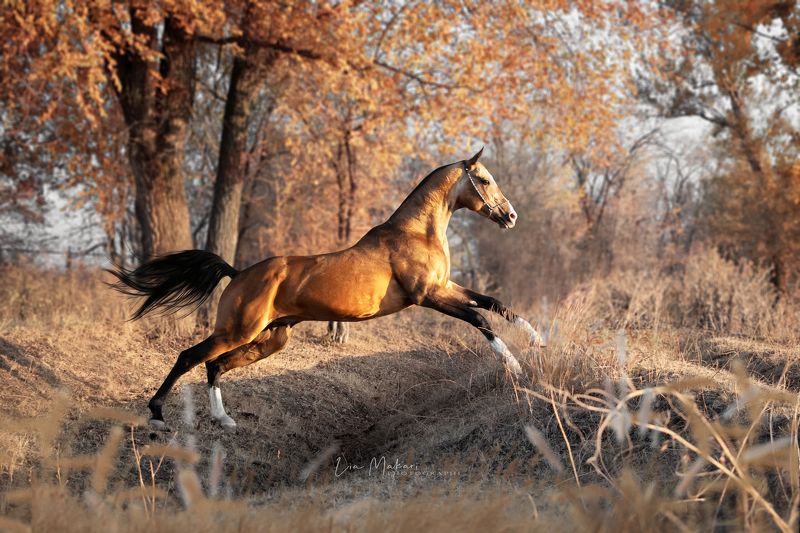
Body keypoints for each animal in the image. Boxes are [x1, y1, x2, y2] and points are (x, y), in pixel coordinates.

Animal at [109, 148, 544, 429]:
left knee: (215, 365)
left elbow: (494, 303)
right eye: (484, 179)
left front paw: (538, 339)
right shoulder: (428, 296)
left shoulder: (445, 286)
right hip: (238, 330)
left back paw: (224, 420)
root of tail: (238, 273)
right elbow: (478, 319)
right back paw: (157, 416)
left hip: (270, 338)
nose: (510, 216)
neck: (416, 234)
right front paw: (517, 368)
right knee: (189, 357)